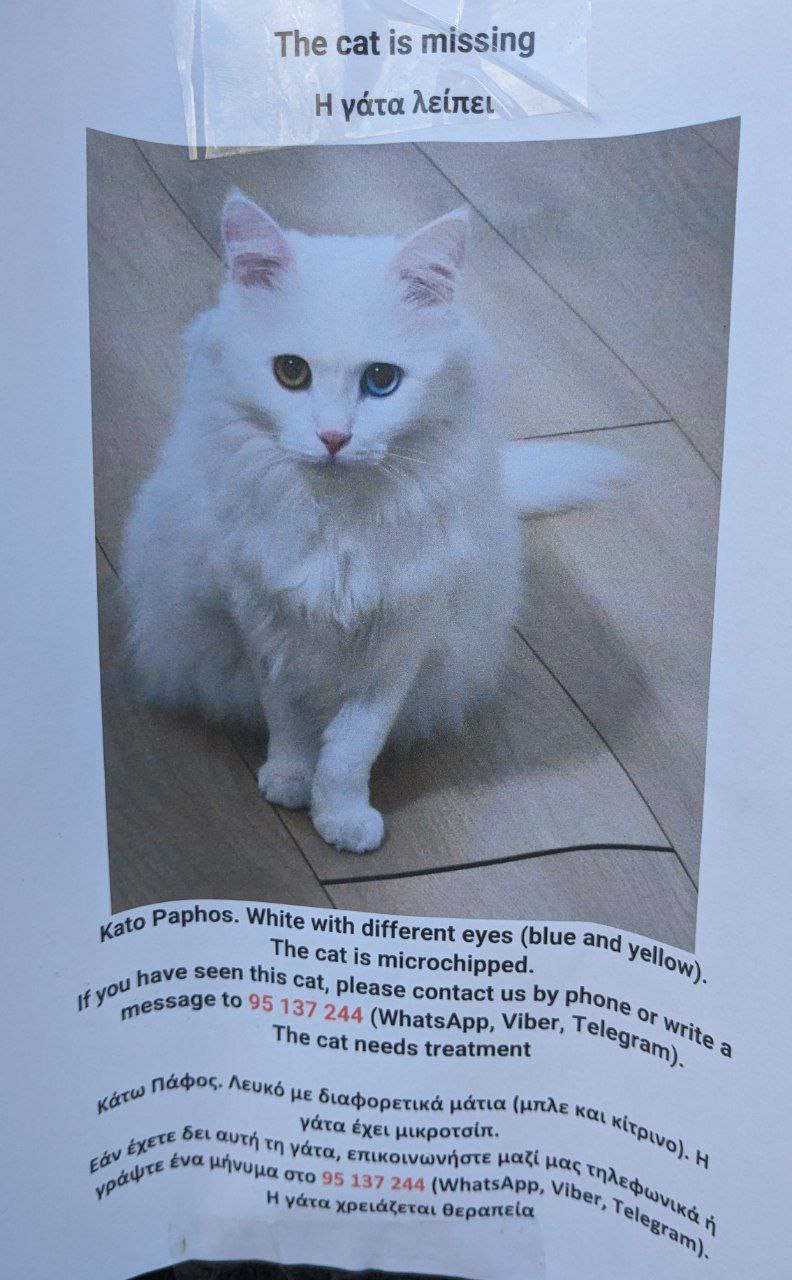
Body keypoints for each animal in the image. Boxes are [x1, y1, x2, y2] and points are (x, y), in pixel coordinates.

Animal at [122, 189, 628, 854]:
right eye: (290, 372)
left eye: (381, 381)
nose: (334, 438)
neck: (338, 521)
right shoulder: (260, 615)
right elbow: (288, 715)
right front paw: (289, 781)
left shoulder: (404, 633)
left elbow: (353, 747)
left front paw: (341, 817)